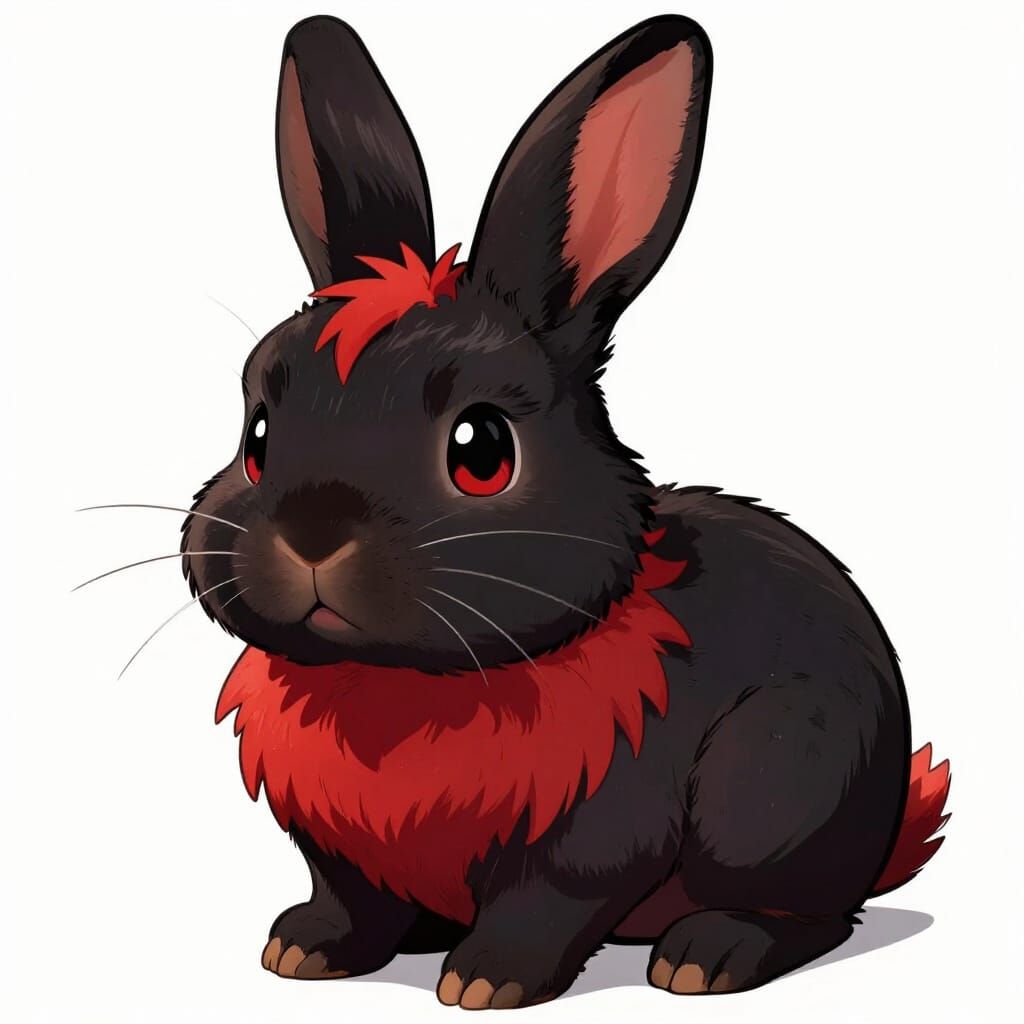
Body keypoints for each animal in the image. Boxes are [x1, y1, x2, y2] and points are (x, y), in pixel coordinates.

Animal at [183, 14, 950, 1009]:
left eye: (481, 450)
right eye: (260, 432)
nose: (313, 536)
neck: (397, 685)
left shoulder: (594, 837)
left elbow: (547, 904)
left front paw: (485, 983)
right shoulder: (338, 852)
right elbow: (347, 897)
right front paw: (302, 950)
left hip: (777, 788)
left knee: (810, 914)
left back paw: (706, 956)